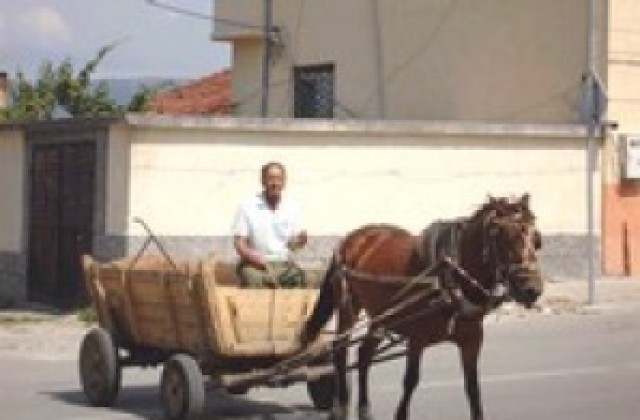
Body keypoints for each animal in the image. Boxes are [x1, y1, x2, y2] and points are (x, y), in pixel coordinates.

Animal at [302, 194, 544, 420]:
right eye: (502, 236)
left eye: (537, 239)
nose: (532, 289)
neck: (450, 276)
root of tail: (352, 238)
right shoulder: (417, 338)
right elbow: (410, 381)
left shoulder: (472, 340)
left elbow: (473, 389)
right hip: (348, 304)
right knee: (340, 350)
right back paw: (340, 406)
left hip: (382, 314)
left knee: (364, 354)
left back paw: (364, 409)